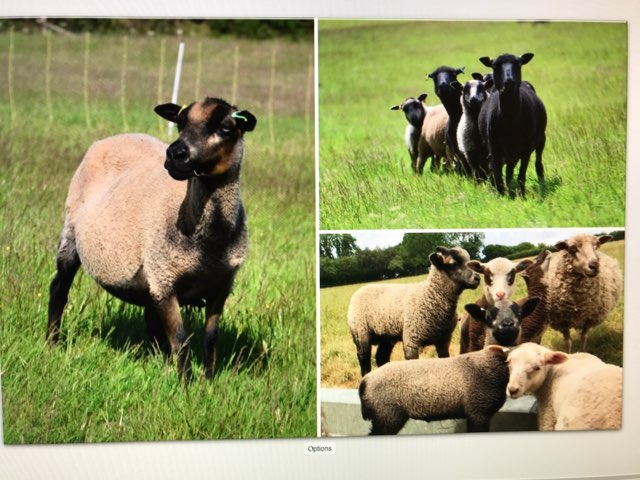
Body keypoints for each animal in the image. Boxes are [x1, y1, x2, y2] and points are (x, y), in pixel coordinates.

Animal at [47, 97, 257, 379]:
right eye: (180, 122)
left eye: (226, 127)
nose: (175, 155)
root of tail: (110, 138)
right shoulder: (165, 281)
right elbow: (181, 340)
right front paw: (186, 384)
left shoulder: (220, 287)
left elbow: (210, 340)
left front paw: (209, 381)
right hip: (71, 231)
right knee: (59, 287)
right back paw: (52, 343)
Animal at [348, 246, 481, 377]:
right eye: (452, 263)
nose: (477, 278)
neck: (430, 295)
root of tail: (361, 289)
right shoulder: (411, 341)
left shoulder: (444, 340)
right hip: (361, 332)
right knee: (364, 360)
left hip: (386, 336)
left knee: (381, 357)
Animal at [477, 53, 547, 197]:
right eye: (494, 66)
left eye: (519, 63)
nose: (509, 82)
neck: (510, 122)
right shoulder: (494, 150)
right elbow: (498, 177)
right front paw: (502, 196)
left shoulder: (526, 150)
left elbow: (521, 176)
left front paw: (522, 195)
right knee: (508, 171)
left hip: (541, 138)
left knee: (538, 162)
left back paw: (541, 181)